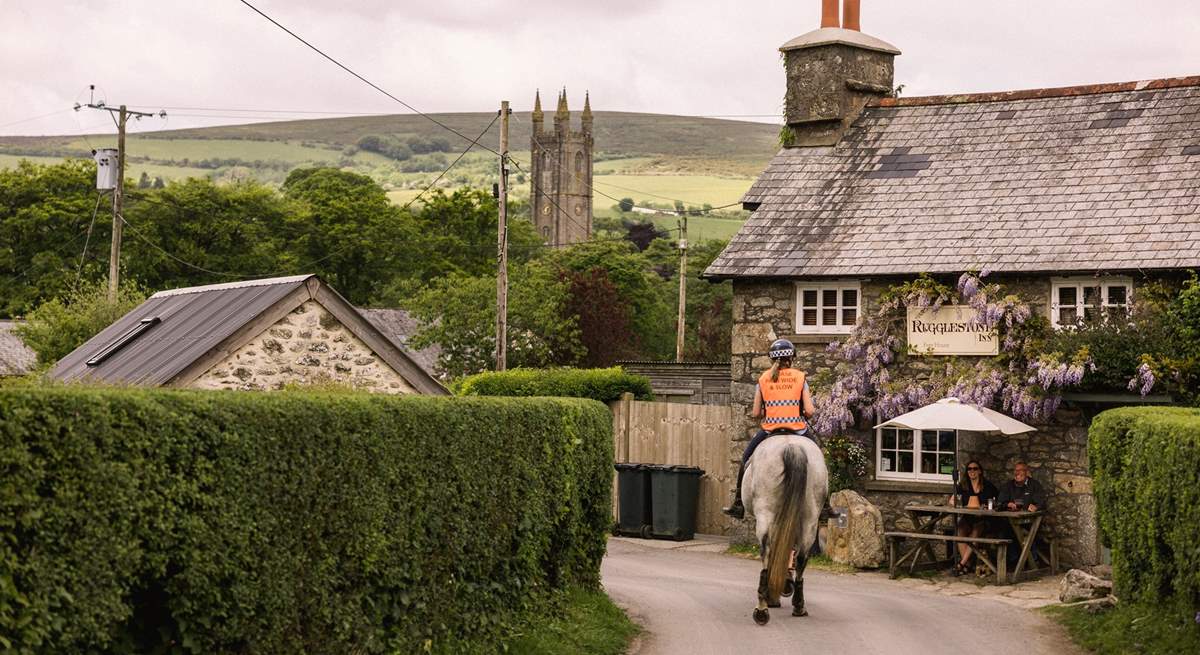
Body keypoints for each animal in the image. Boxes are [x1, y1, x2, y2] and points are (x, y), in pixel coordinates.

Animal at [739, 431, 825, 623]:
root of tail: (792, 447)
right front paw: (784, 584)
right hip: (810, 518)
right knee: (801, 557)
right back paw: (798, 606)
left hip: (766, 511)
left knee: (767, 551)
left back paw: (762, 608)